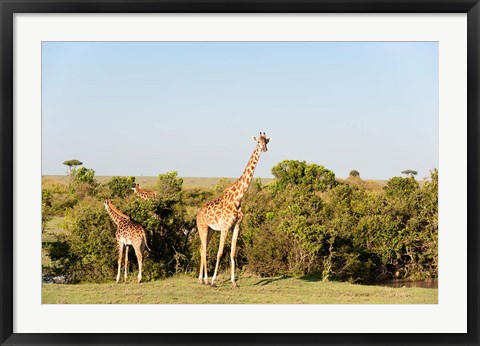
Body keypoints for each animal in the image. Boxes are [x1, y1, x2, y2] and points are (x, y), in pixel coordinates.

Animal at [195, 131, 270, 288]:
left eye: (266, 141)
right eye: (258, 142)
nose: (265, 149)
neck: (238, 198)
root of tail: (197, 214)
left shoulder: (237, 226)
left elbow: (233, 252)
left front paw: (234, 282)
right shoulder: (225, 227)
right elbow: (220, 253)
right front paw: (213, 281)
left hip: (211, 230)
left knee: (202, 249)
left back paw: (201, 279)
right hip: (202, 227)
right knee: (204, 249)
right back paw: (205, 280)